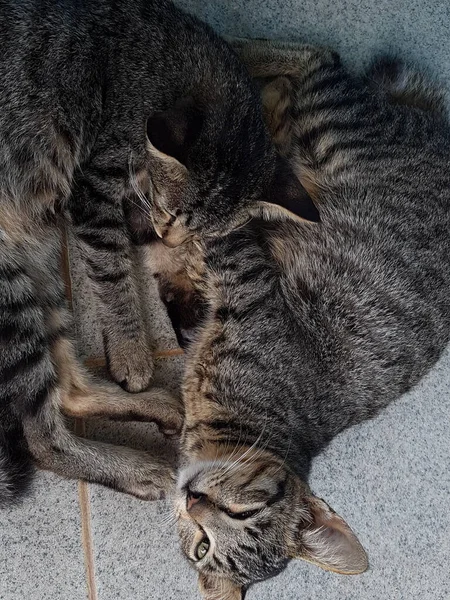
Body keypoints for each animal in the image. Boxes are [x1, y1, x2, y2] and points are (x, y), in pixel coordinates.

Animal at [0, 1, 316, 506]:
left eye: (201, 232)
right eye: (167, 211)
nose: (167, 238)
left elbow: (262, 47)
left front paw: (299, 60)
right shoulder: (93, 189)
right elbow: (112, 273)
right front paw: (131, 349)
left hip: (40, 268)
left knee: (67, 390)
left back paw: (152, 410)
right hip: (10, 288)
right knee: (44, 440)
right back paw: (135, 466)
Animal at [145, 39, 450, 596]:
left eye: (205, 544)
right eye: (244, 511)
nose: (193, 500)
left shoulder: (247, 281)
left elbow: (216, 235)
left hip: (334, 128)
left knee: (319, 65)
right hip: (335, 132)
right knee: (319, 57)